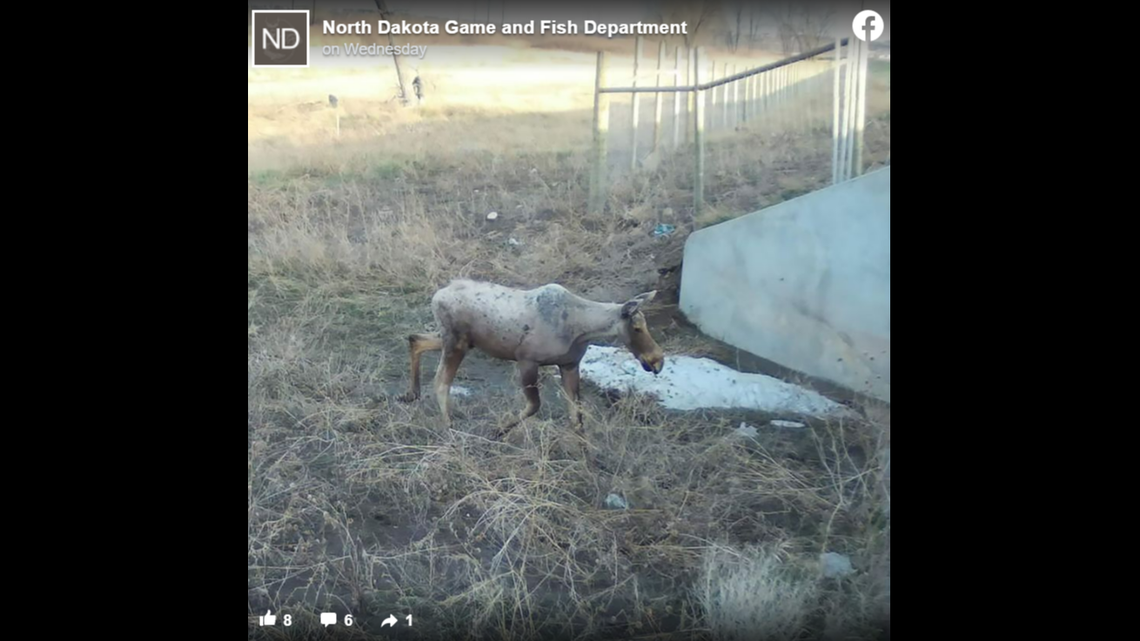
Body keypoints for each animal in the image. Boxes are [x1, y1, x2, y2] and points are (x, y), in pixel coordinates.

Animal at [396, 279, 665, 440]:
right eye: (637, 327)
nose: (657, 360)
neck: (582, 329)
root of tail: (436, 296)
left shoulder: (570, 365)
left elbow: (577, 419)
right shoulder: (526, 360)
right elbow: (534, 405)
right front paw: (497, 430)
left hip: (456, 340)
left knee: (415, 339)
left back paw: (411, 394)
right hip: (456, 343)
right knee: (441, 382)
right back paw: (448, 426)